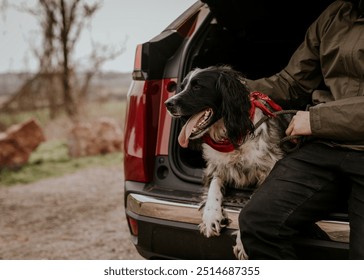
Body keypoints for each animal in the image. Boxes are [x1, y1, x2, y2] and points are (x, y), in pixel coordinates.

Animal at [166, 64, 290, 260]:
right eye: (183, 86)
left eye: (197, 86)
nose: (168, 104)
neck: (232, 137)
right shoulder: (216, 168)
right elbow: (213, 187)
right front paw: (211, 216)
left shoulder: (270, 168)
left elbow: (252, 204)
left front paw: (242, 241)